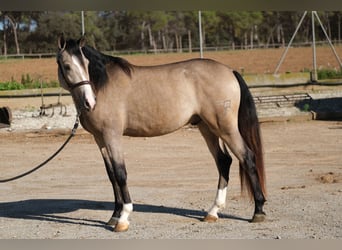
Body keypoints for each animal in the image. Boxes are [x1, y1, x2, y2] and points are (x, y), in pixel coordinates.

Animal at [56, 35, 266, 232]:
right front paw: (114, 216)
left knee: (247, 157)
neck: (102, 85)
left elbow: (121, 173)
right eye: (66, 66)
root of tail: (230, 71)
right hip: (207, 127)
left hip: (225, 128)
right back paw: (213, 212)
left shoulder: (112, 135)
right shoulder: (99, 138)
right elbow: (111, 175)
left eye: (86, 64)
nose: (89, 102)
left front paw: (123, 218)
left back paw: (258, 211)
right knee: (224, 161)